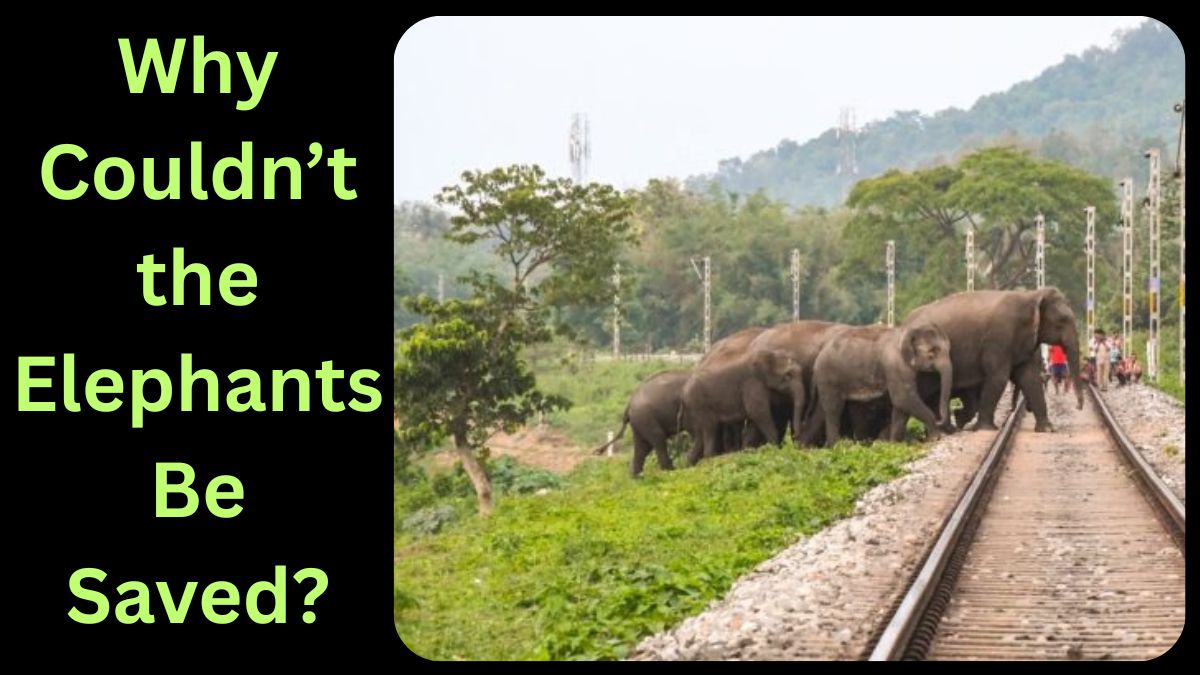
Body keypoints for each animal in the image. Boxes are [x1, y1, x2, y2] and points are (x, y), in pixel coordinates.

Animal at [812, 323, 954, 445]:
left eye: (948, 349)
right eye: (933, 351)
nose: (940, 421)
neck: (908, 330)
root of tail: (820, 353)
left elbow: (901, 405)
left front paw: (894, 444)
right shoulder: (895, 365)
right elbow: (903, 398)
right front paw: (935, 437)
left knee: (852, 408)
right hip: (827, 378)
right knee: (834, 409)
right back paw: (837, 446)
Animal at [902, 288, 1083, 432]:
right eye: (1062, 320)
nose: (1078, 407)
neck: (1032, 295)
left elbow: (1030, 379)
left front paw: (1047, 429)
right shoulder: (999, 338)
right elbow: (998, 378)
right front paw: (985, 429)